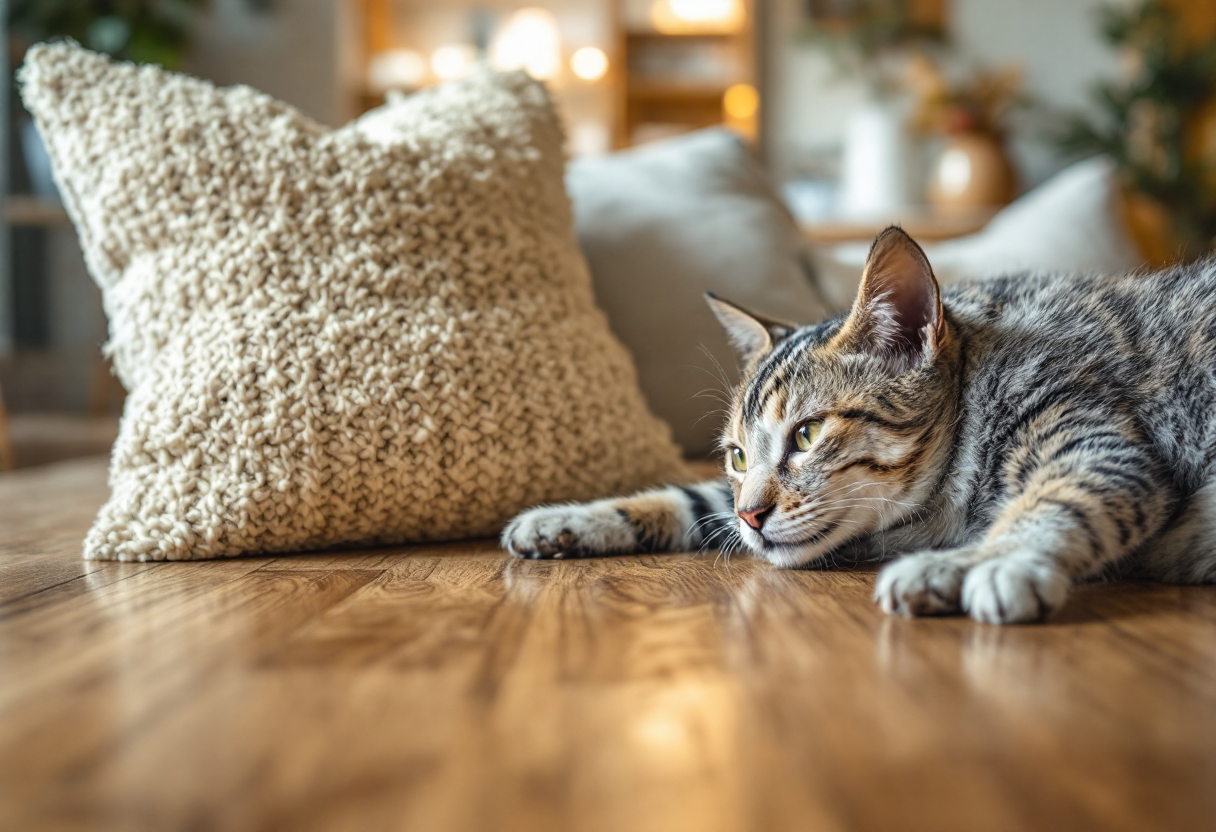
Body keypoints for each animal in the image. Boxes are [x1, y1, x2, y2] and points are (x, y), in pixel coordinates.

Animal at [500, 227, 1216, 622]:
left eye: (807, 435)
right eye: (737, 456)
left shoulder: (1096, 441)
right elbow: (691, 498)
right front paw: (570, 518)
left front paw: (981, 560)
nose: (753, 516)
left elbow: (1058, 497)